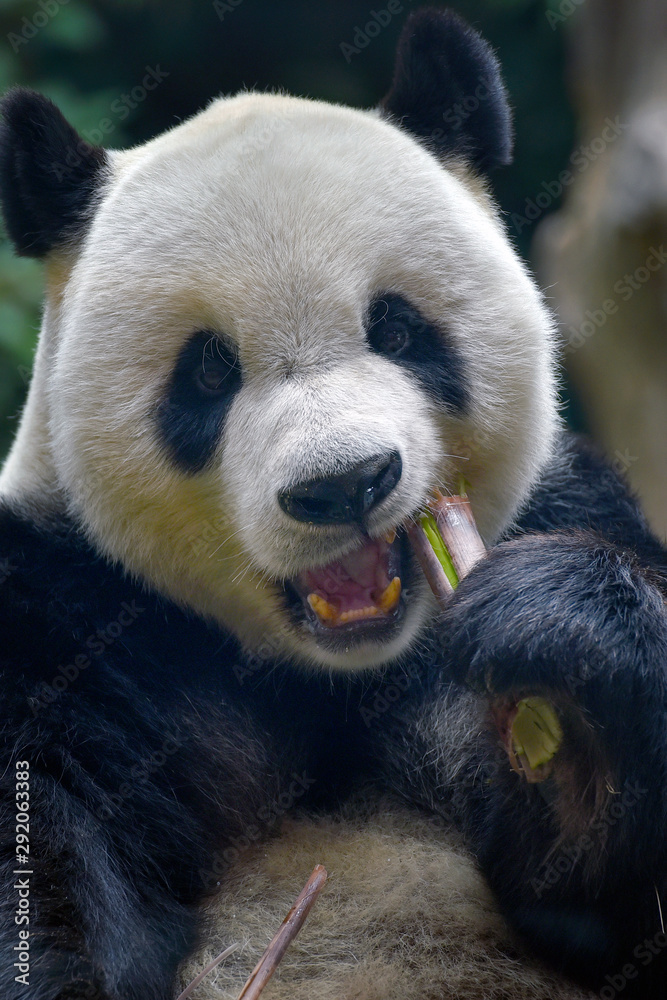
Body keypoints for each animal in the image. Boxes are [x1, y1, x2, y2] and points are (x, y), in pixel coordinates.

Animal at [1, 7, 666, 999]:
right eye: (208, 372)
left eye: (395, 326)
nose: (344, 484)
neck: (326, 677)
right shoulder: (66, 617)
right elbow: (42, 861)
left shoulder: (564, 505)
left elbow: (597, 905)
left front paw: (559, 663)